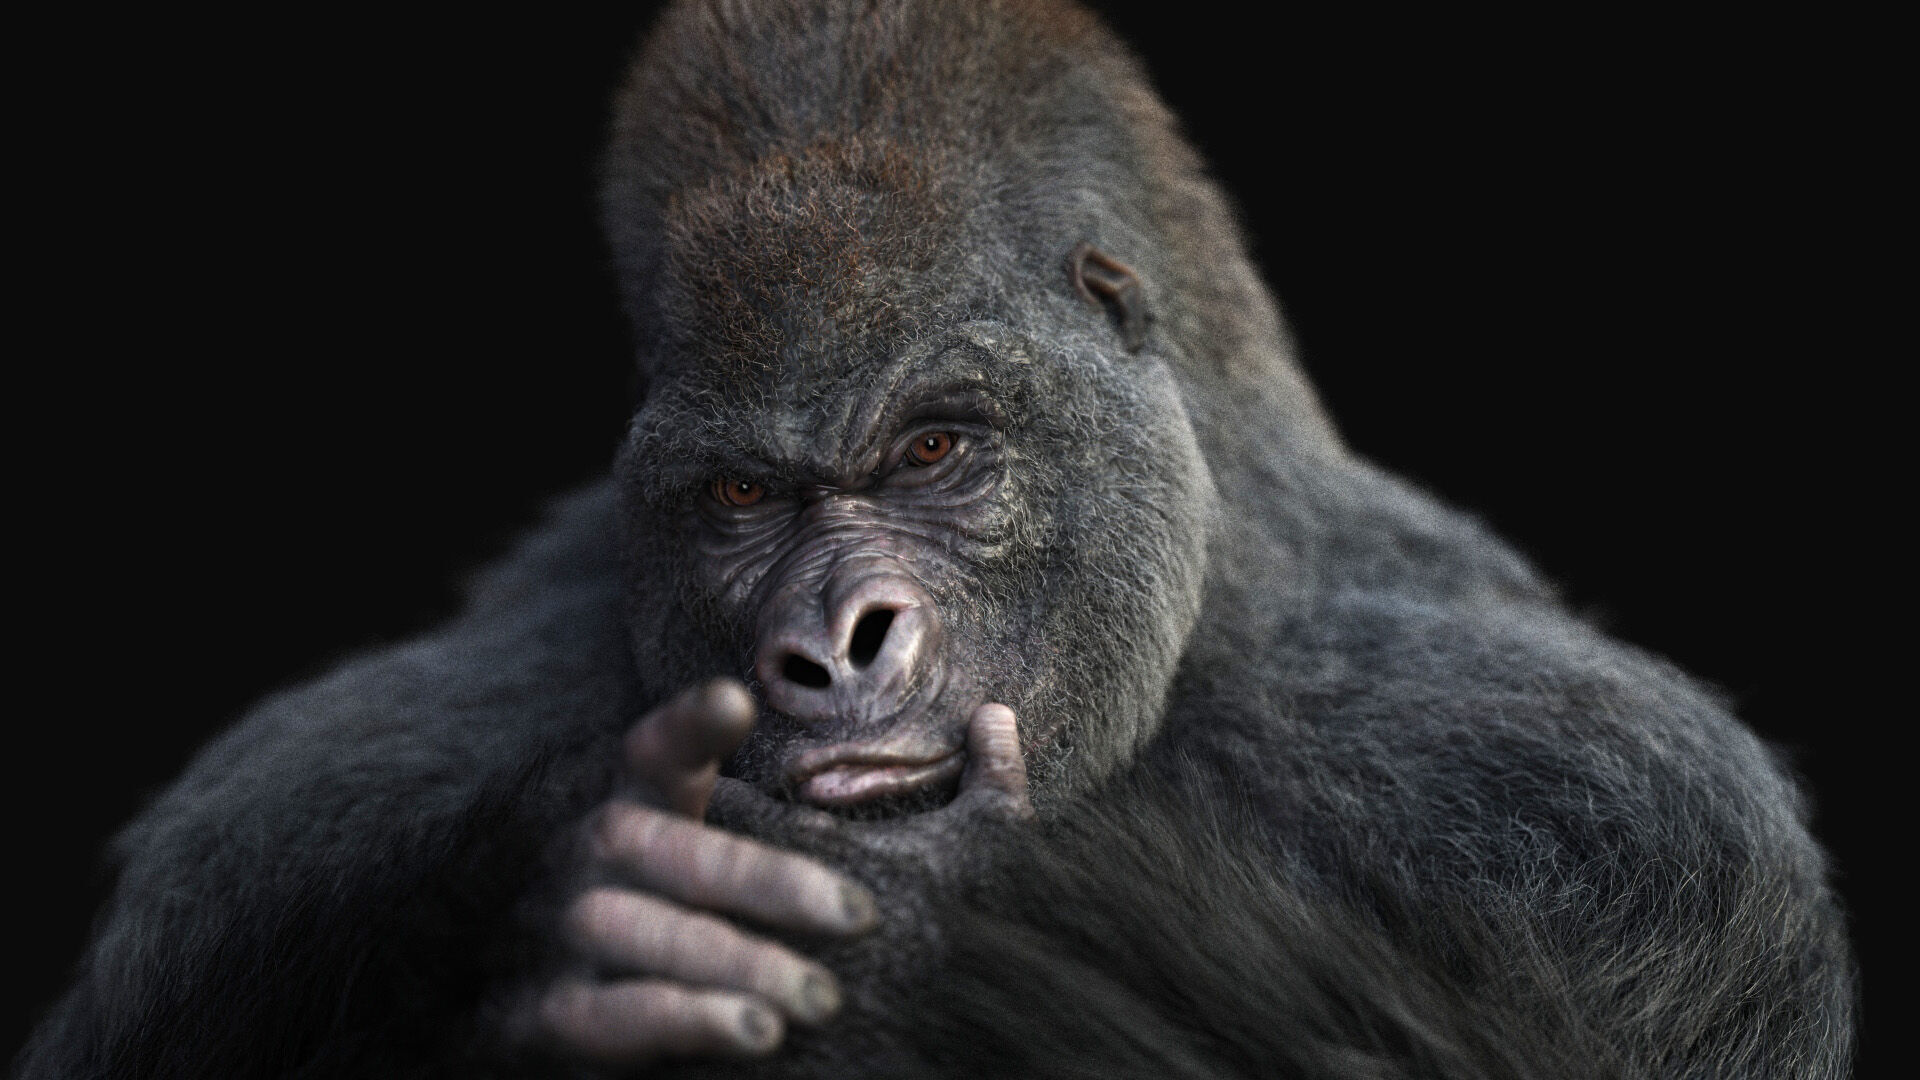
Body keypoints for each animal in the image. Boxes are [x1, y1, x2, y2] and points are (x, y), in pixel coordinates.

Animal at [17, 1, 1855, 1076]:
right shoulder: (282, 823)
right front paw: (552, 913)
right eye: (742, 500)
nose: (832, 648)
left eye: (933, 450)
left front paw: (926, 911)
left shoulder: (1603, 804)